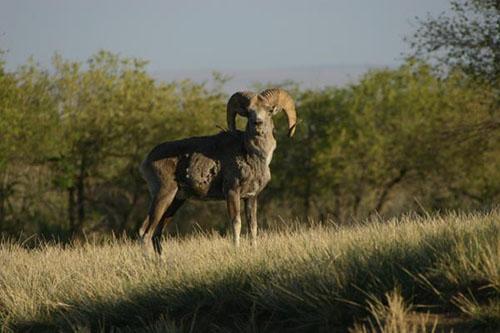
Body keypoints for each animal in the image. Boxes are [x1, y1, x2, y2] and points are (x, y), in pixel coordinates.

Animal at [139, 87, 296, 253]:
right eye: (249, 112)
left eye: (269, 110)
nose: (257, 122)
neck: (253, 155)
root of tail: (147, 160)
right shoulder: (232, 192)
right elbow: (236, 223)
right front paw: (236, 250)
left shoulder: (251, 197)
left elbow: (253, 226)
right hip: (163, 195)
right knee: (145, 232)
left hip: (176, 201)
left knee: (157, 234)